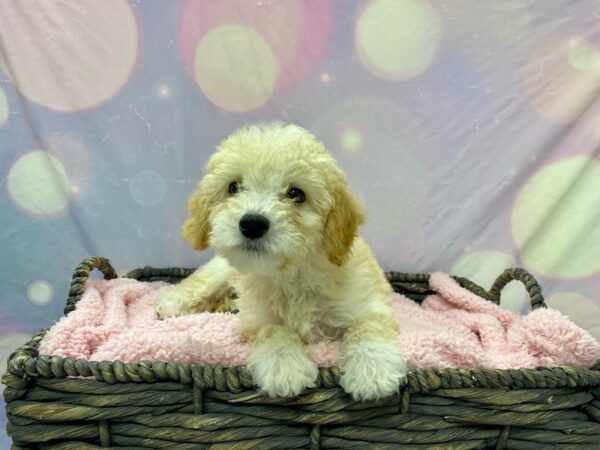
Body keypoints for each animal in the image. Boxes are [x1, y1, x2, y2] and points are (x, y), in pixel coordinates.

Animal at [155, 121, 408, 400]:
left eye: (296, 194)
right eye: (234, 187)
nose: (252, 223)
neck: (293, 273)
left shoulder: (368, 303)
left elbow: (367, 327)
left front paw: (372, 370)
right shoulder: (257, 317)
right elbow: (274, 331)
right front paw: (283, 365)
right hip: (220, 272)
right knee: (195, 285)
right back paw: (170, 304)